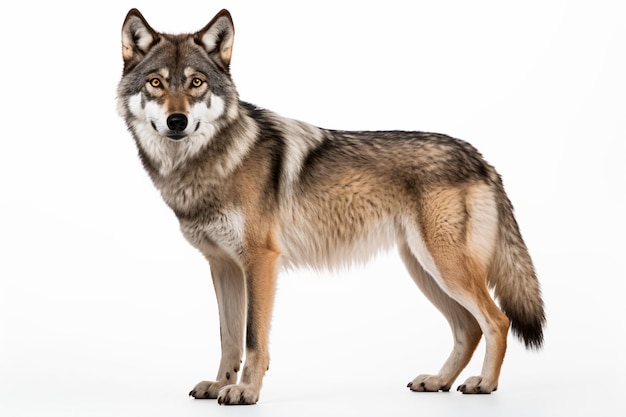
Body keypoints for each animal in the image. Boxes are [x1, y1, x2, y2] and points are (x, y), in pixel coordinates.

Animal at [116, 8, 540, 404]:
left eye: (196, 83)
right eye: (156, 82)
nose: (177, 121)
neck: (207, 164)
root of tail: (481, 158)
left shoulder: (260, 260)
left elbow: (253, 337)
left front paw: (246, 391)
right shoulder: (223, 266)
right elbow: (229, 337)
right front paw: (220, 384)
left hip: (444, 267)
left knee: (497, 321)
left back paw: (484, 384)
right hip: (424, 269)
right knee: (468, 327)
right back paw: (438, 381)